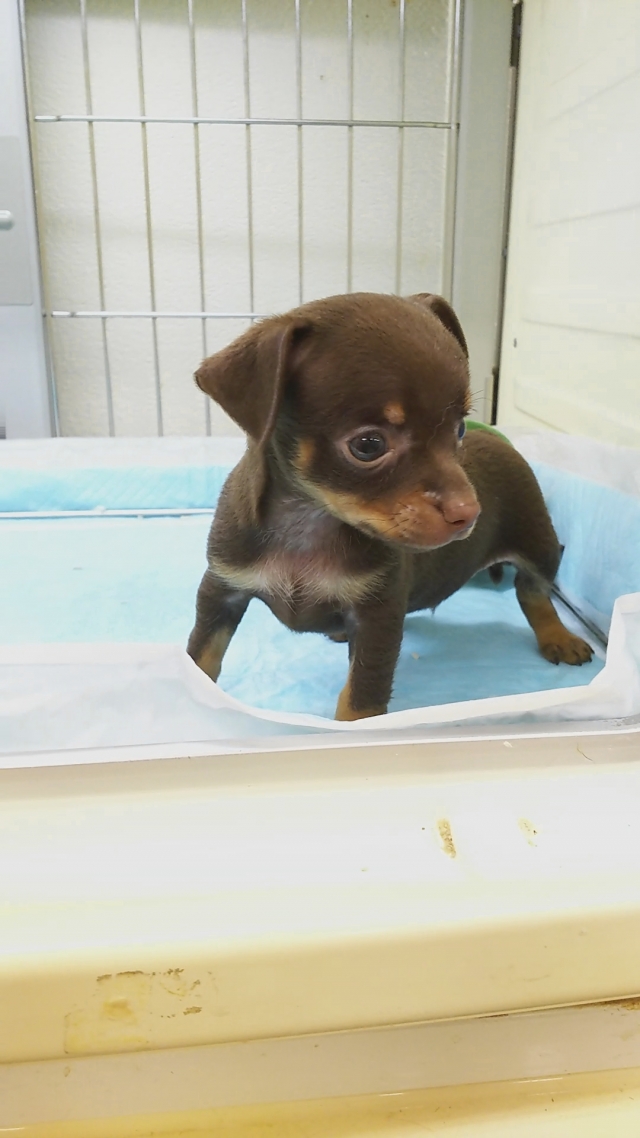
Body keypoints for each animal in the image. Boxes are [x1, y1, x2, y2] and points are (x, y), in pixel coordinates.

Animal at [187, 292, 592, 721]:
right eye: (368, 445)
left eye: (460, 429)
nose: (469, 512)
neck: (309, 518)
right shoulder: (222, 588)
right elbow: (203, 653)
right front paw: (189, 696)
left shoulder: (376, 615)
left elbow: (362, 694)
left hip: (538, 543)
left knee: (534, 590)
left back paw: (558, 636)